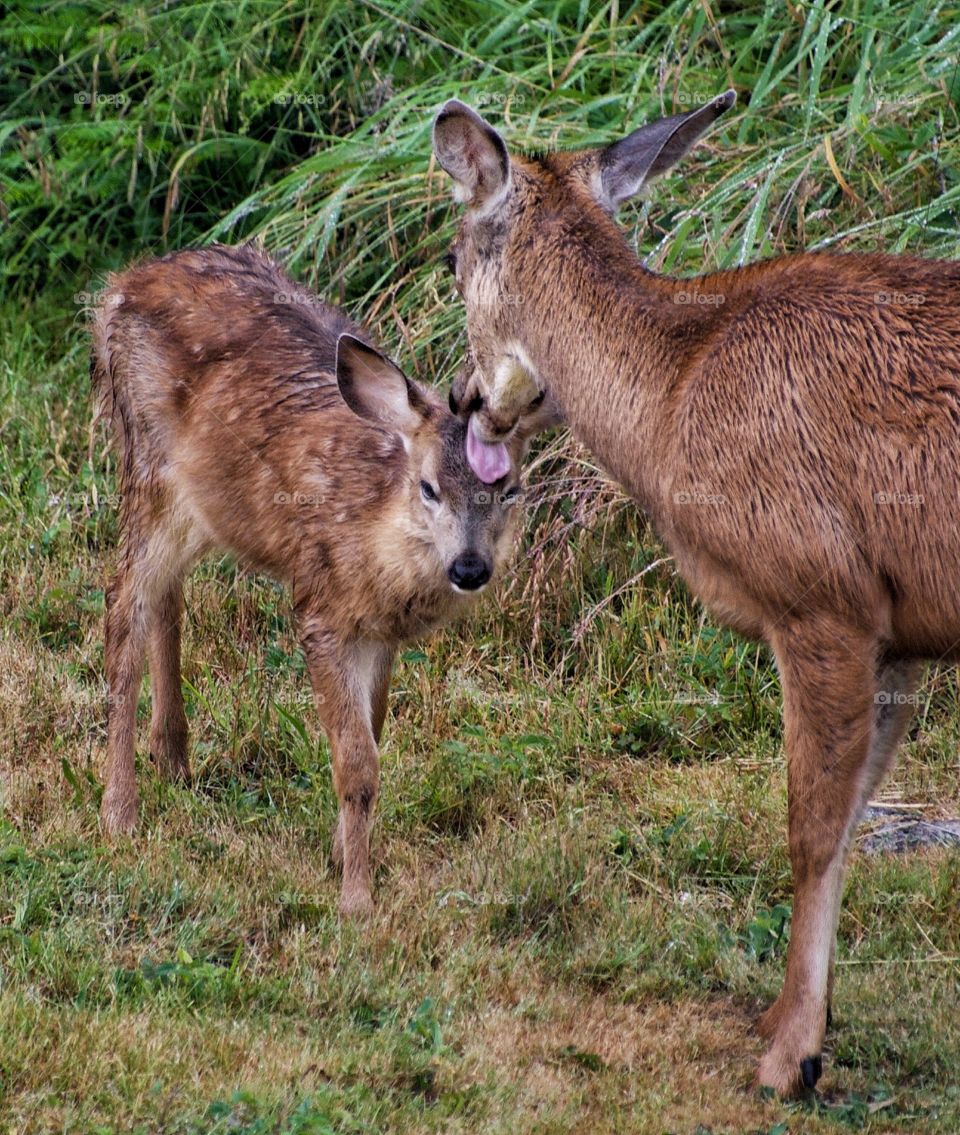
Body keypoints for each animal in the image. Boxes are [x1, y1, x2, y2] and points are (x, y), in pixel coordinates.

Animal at [431, 93, 960, 1094]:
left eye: (452, 258)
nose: (464, 396)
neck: (674, 390)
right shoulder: (900, 634)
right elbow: (853, 814)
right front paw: (797, 1025)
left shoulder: (821, 597)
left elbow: (811, 826)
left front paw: (790, 1056)